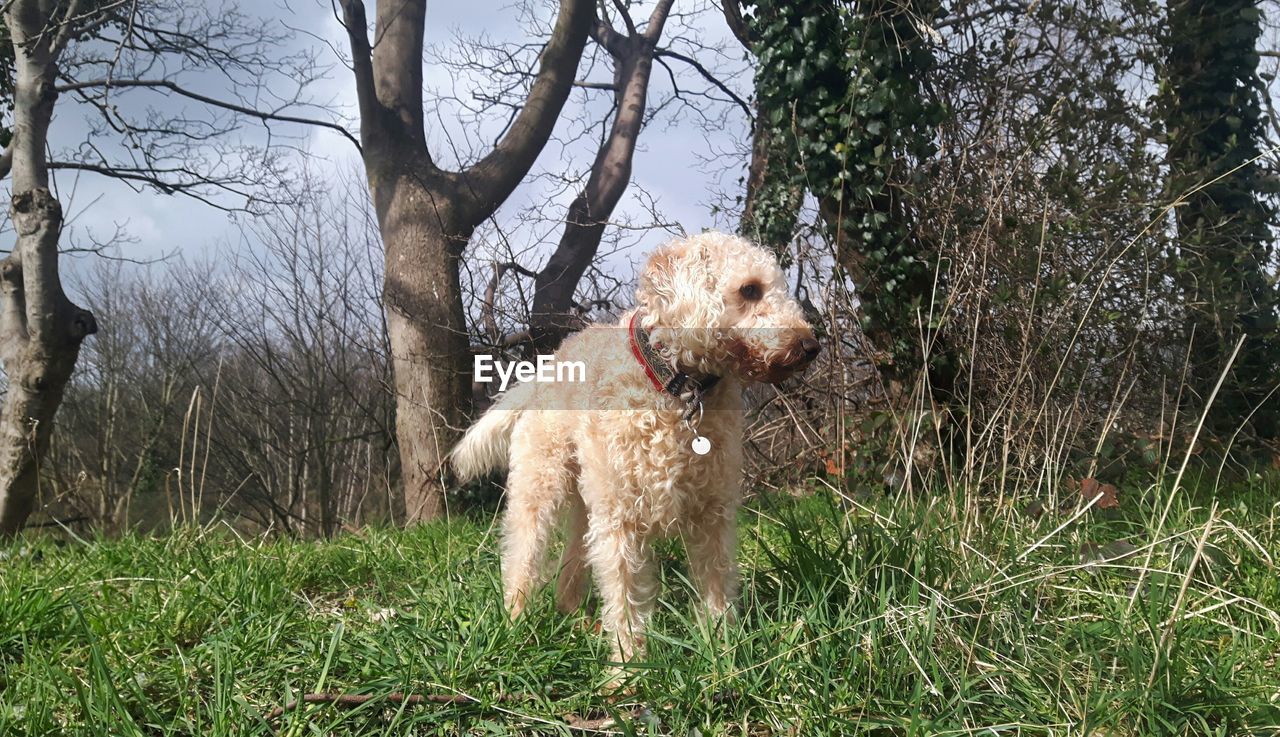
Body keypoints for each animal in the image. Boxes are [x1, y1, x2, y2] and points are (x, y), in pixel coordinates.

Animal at [453, 232, 819, 670]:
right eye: (750, 290)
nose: (811, 345)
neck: (678, 392)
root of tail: (545, 368)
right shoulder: (621, 522)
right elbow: (625, 598)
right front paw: (629, 669)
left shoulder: (711, 515)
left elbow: (716, 584)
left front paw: (723, 653)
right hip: (540, 489)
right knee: (521, 557)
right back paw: (514, 623)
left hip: (587, 506)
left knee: (571, 564)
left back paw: (575, 619)